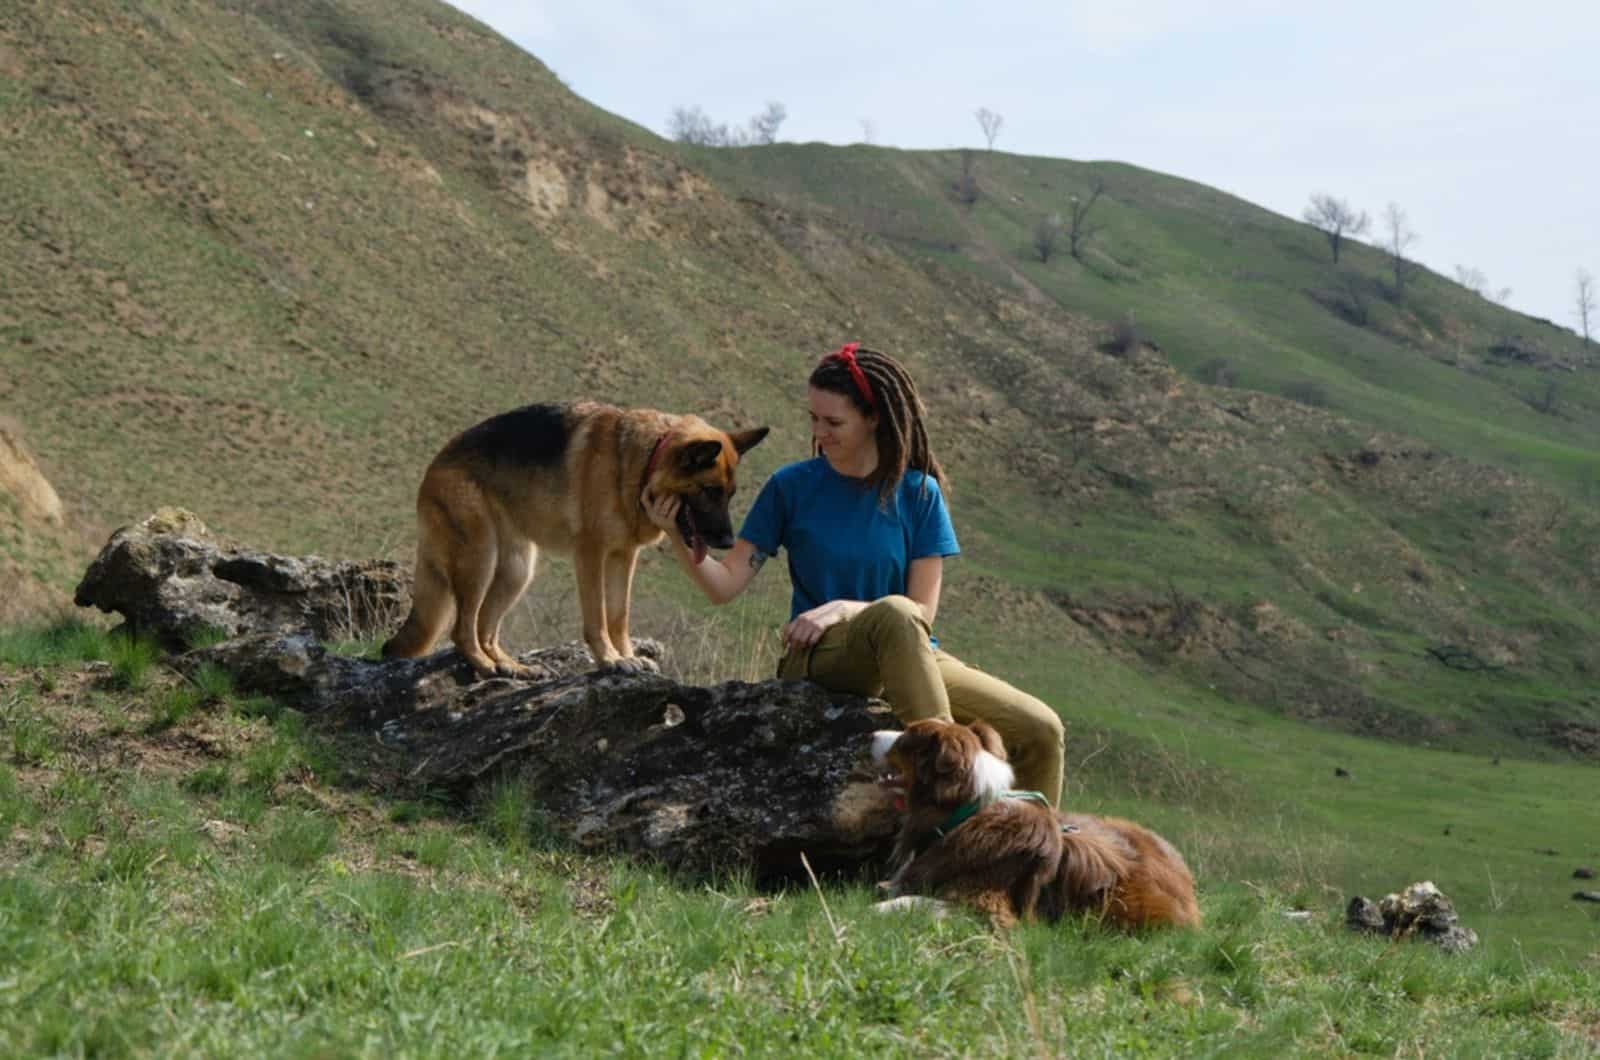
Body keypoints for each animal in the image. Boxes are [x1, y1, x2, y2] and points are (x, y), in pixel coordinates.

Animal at [384, 403, 764, 675]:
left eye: (730, 494)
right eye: (710, 491)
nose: (730, 543)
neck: (643, 461)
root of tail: (435, 465)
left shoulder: (623, 557)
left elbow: (619, 615)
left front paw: (627, 655)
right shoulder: (591, 554)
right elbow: (597, 616)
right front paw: (610, 660)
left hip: (517, 571)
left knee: (484, 627)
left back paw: (510, 666)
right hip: (480, 559)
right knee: (462, 631)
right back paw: (484, 665)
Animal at [876, 723, 1203, 928]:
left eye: (904, 738)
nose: (872, 733)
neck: (965, 813)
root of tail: (1185, 873)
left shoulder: (990, 907)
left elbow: (912, 901)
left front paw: (875, 911)